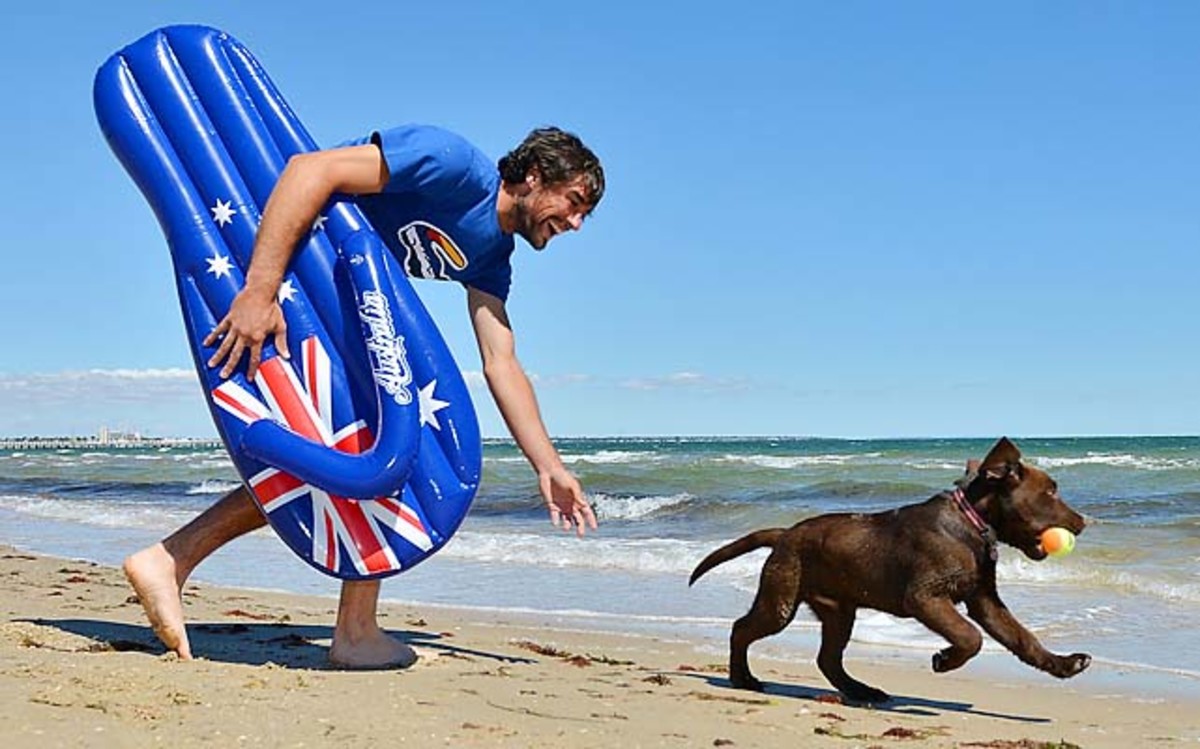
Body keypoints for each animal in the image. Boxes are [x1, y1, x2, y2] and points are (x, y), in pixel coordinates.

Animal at [691, 436, 1094, 705]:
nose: (1083, 522)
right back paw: (742, 679)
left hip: (838, 611)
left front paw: (1064, 665)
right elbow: (969, 637)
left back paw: (861, 691)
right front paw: (945, 660)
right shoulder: (925, 597)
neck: (971, 524)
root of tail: (784, 533)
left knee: (828, 659)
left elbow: (1023, 639)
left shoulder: (985, 601)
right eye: (1051, 493)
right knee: (741, 629)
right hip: (781, 602)